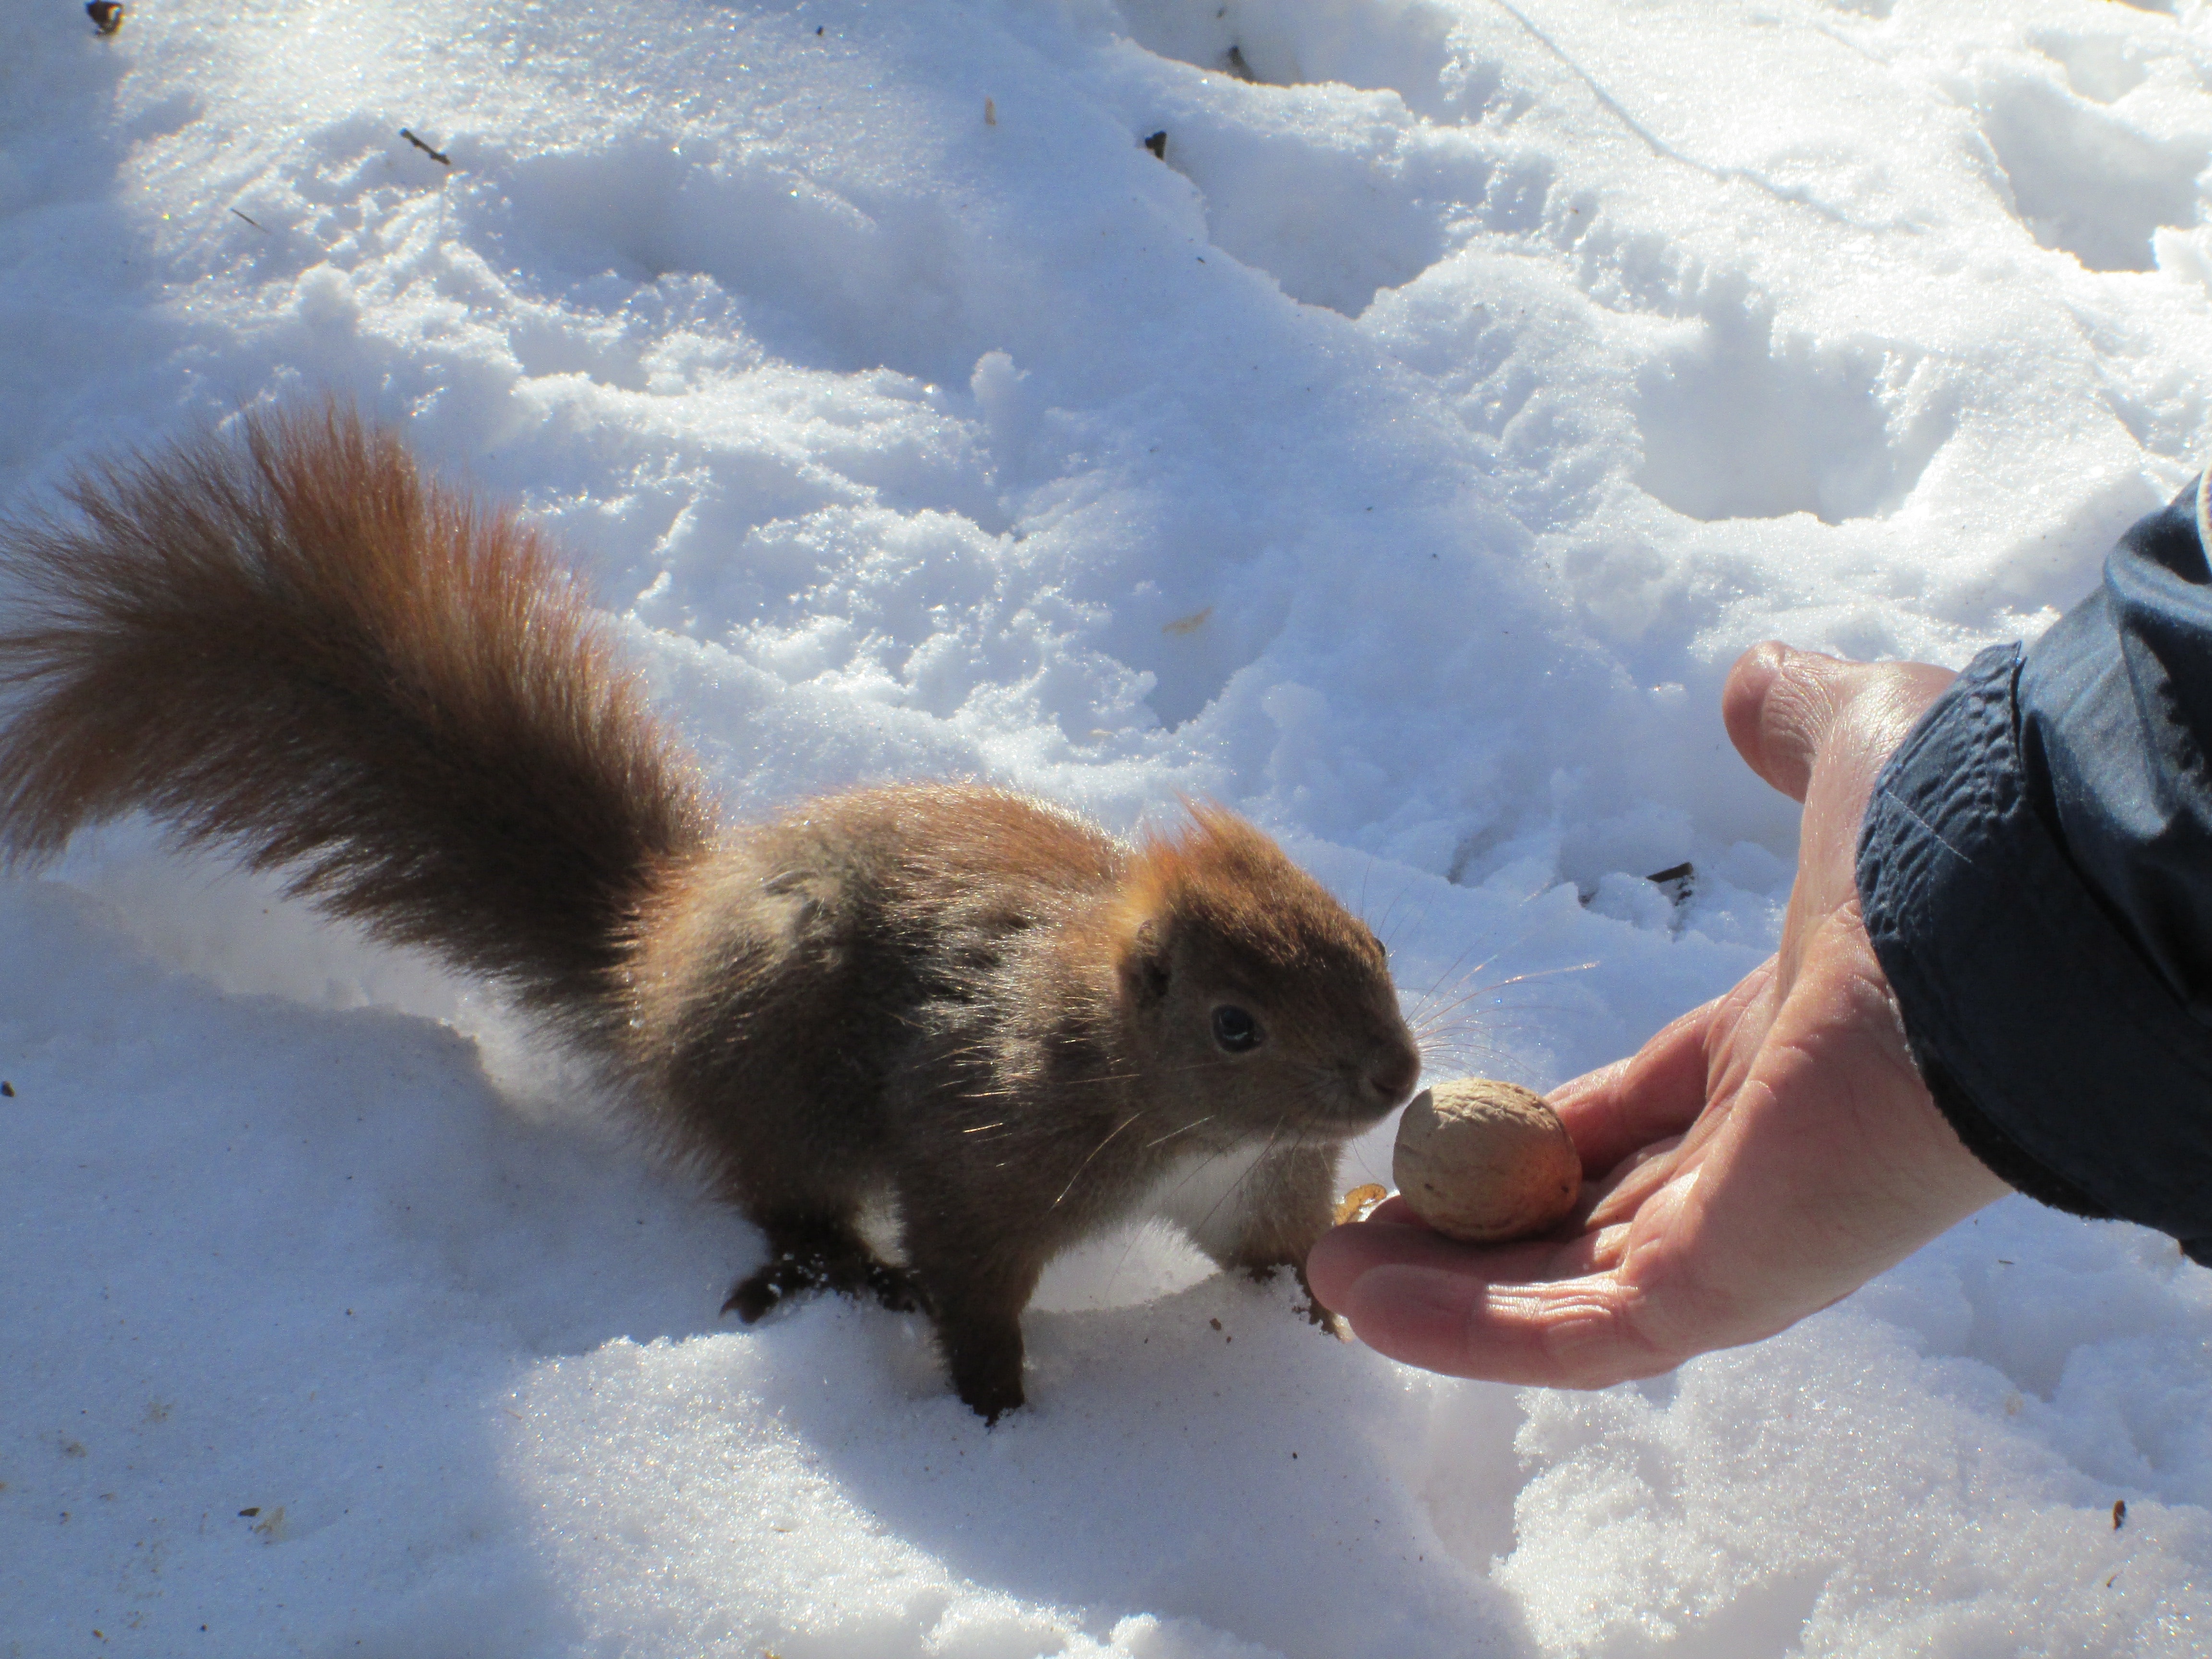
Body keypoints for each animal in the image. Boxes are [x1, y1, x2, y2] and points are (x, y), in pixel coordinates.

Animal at [0, 409, 1416, 1424]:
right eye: (1236, 1026)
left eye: (1376, 945)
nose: (1393, 1080)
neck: (1166, 1105)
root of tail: (651, 956)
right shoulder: (990, 1148)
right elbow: (970, 1281)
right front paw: (999, 1418)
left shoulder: (1254, 1187)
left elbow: (1272, 1253)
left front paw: (1325, 1319)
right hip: (781, 1072)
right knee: (779, 1192)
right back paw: (833, 1267)